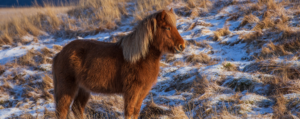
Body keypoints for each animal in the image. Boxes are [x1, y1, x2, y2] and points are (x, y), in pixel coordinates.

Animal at [52, 8, 186, 119]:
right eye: (167, 28)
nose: (182, 46)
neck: (139, 58)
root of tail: (60, 53)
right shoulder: (131, 91)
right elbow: (129, 111)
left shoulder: (143, 91)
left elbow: (136, 111)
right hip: (67, 88)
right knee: (62, 110)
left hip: (83, 89)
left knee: (77, 108)